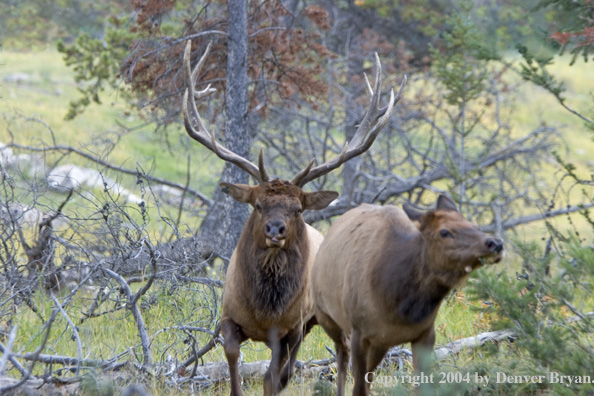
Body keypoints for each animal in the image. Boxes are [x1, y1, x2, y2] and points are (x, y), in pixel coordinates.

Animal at [179, 41, 402, 394]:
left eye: (298, 208)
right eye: (257, 204)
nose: (275, 229)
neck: (263, 311)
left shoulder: (290, 328)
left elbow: (274, 377)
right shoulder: (229, 317)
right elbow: (234, 364)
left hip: (332, 313)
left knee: (344, 356)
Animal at [312, 196, 502, 396]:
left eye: (475, 226)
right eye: (444, 232)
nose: (496, 243)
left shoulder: (424, 333)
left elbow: (420, 387)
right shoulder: (359, 332)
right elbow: (358, 389)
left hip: (380, 344)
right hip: (326, 316)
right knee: (342, 355)